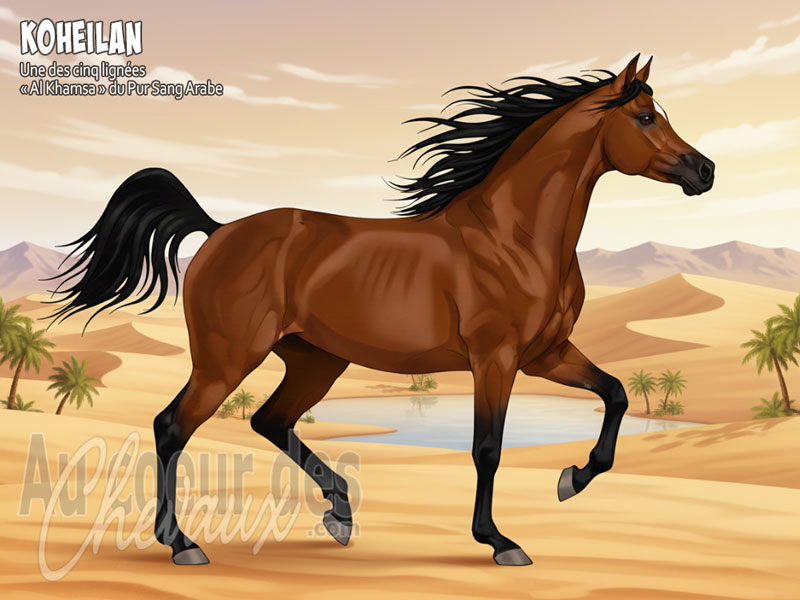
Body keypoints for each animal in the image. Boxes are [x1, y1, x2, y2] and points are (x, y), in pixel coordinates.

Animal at [47, 55, 714, 567]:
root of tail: (217, 230)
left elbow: (616, 394)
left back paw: (340, 512)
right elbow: (488, 448)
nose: (704, 171)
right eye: (646, 117)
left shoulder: (545, 355)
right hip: (227, 358)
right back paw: (182, 543)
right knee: (173, 427)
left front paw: (571, 479)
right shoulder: (495, 359)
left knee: (269, 420)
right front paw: (499, 541)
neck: (513, 236)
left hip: (316, 361)